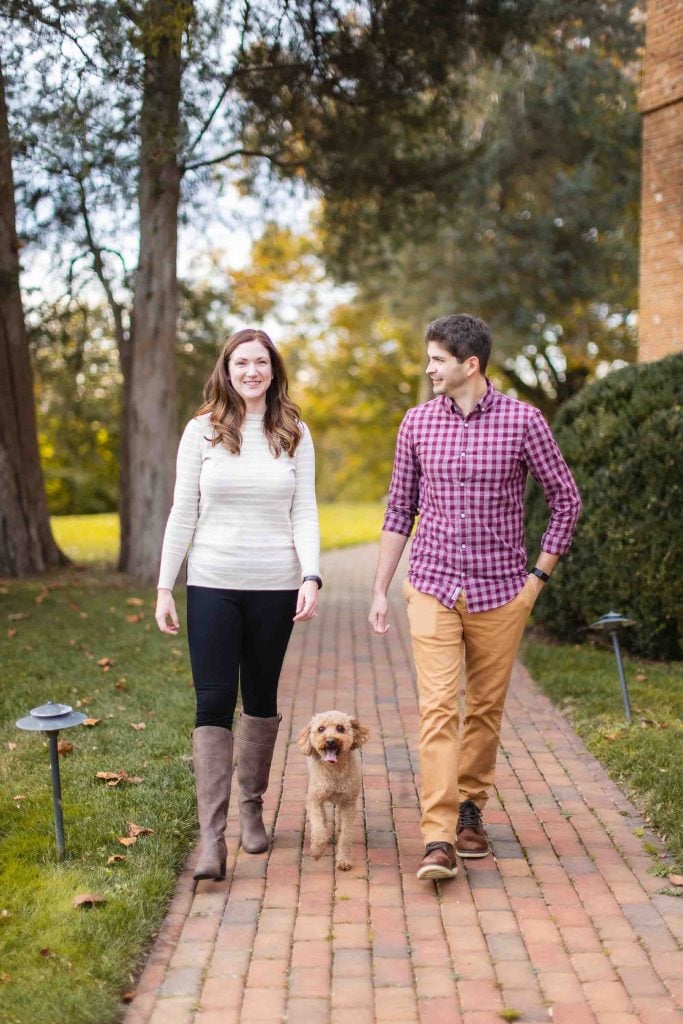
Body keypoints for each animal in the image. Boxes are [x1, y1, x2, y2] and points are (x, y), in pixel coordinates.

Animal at [296, 712, 368, 872]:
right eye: (321, 729)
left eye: (340, 728)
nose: (330, 741)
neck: (334, 770)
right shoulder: (314, 800)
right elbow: (318, 827)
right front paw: (317, 849)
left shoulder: (348, 803)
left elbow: (346, 836)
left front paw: (344, 860)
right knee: (323, 817)